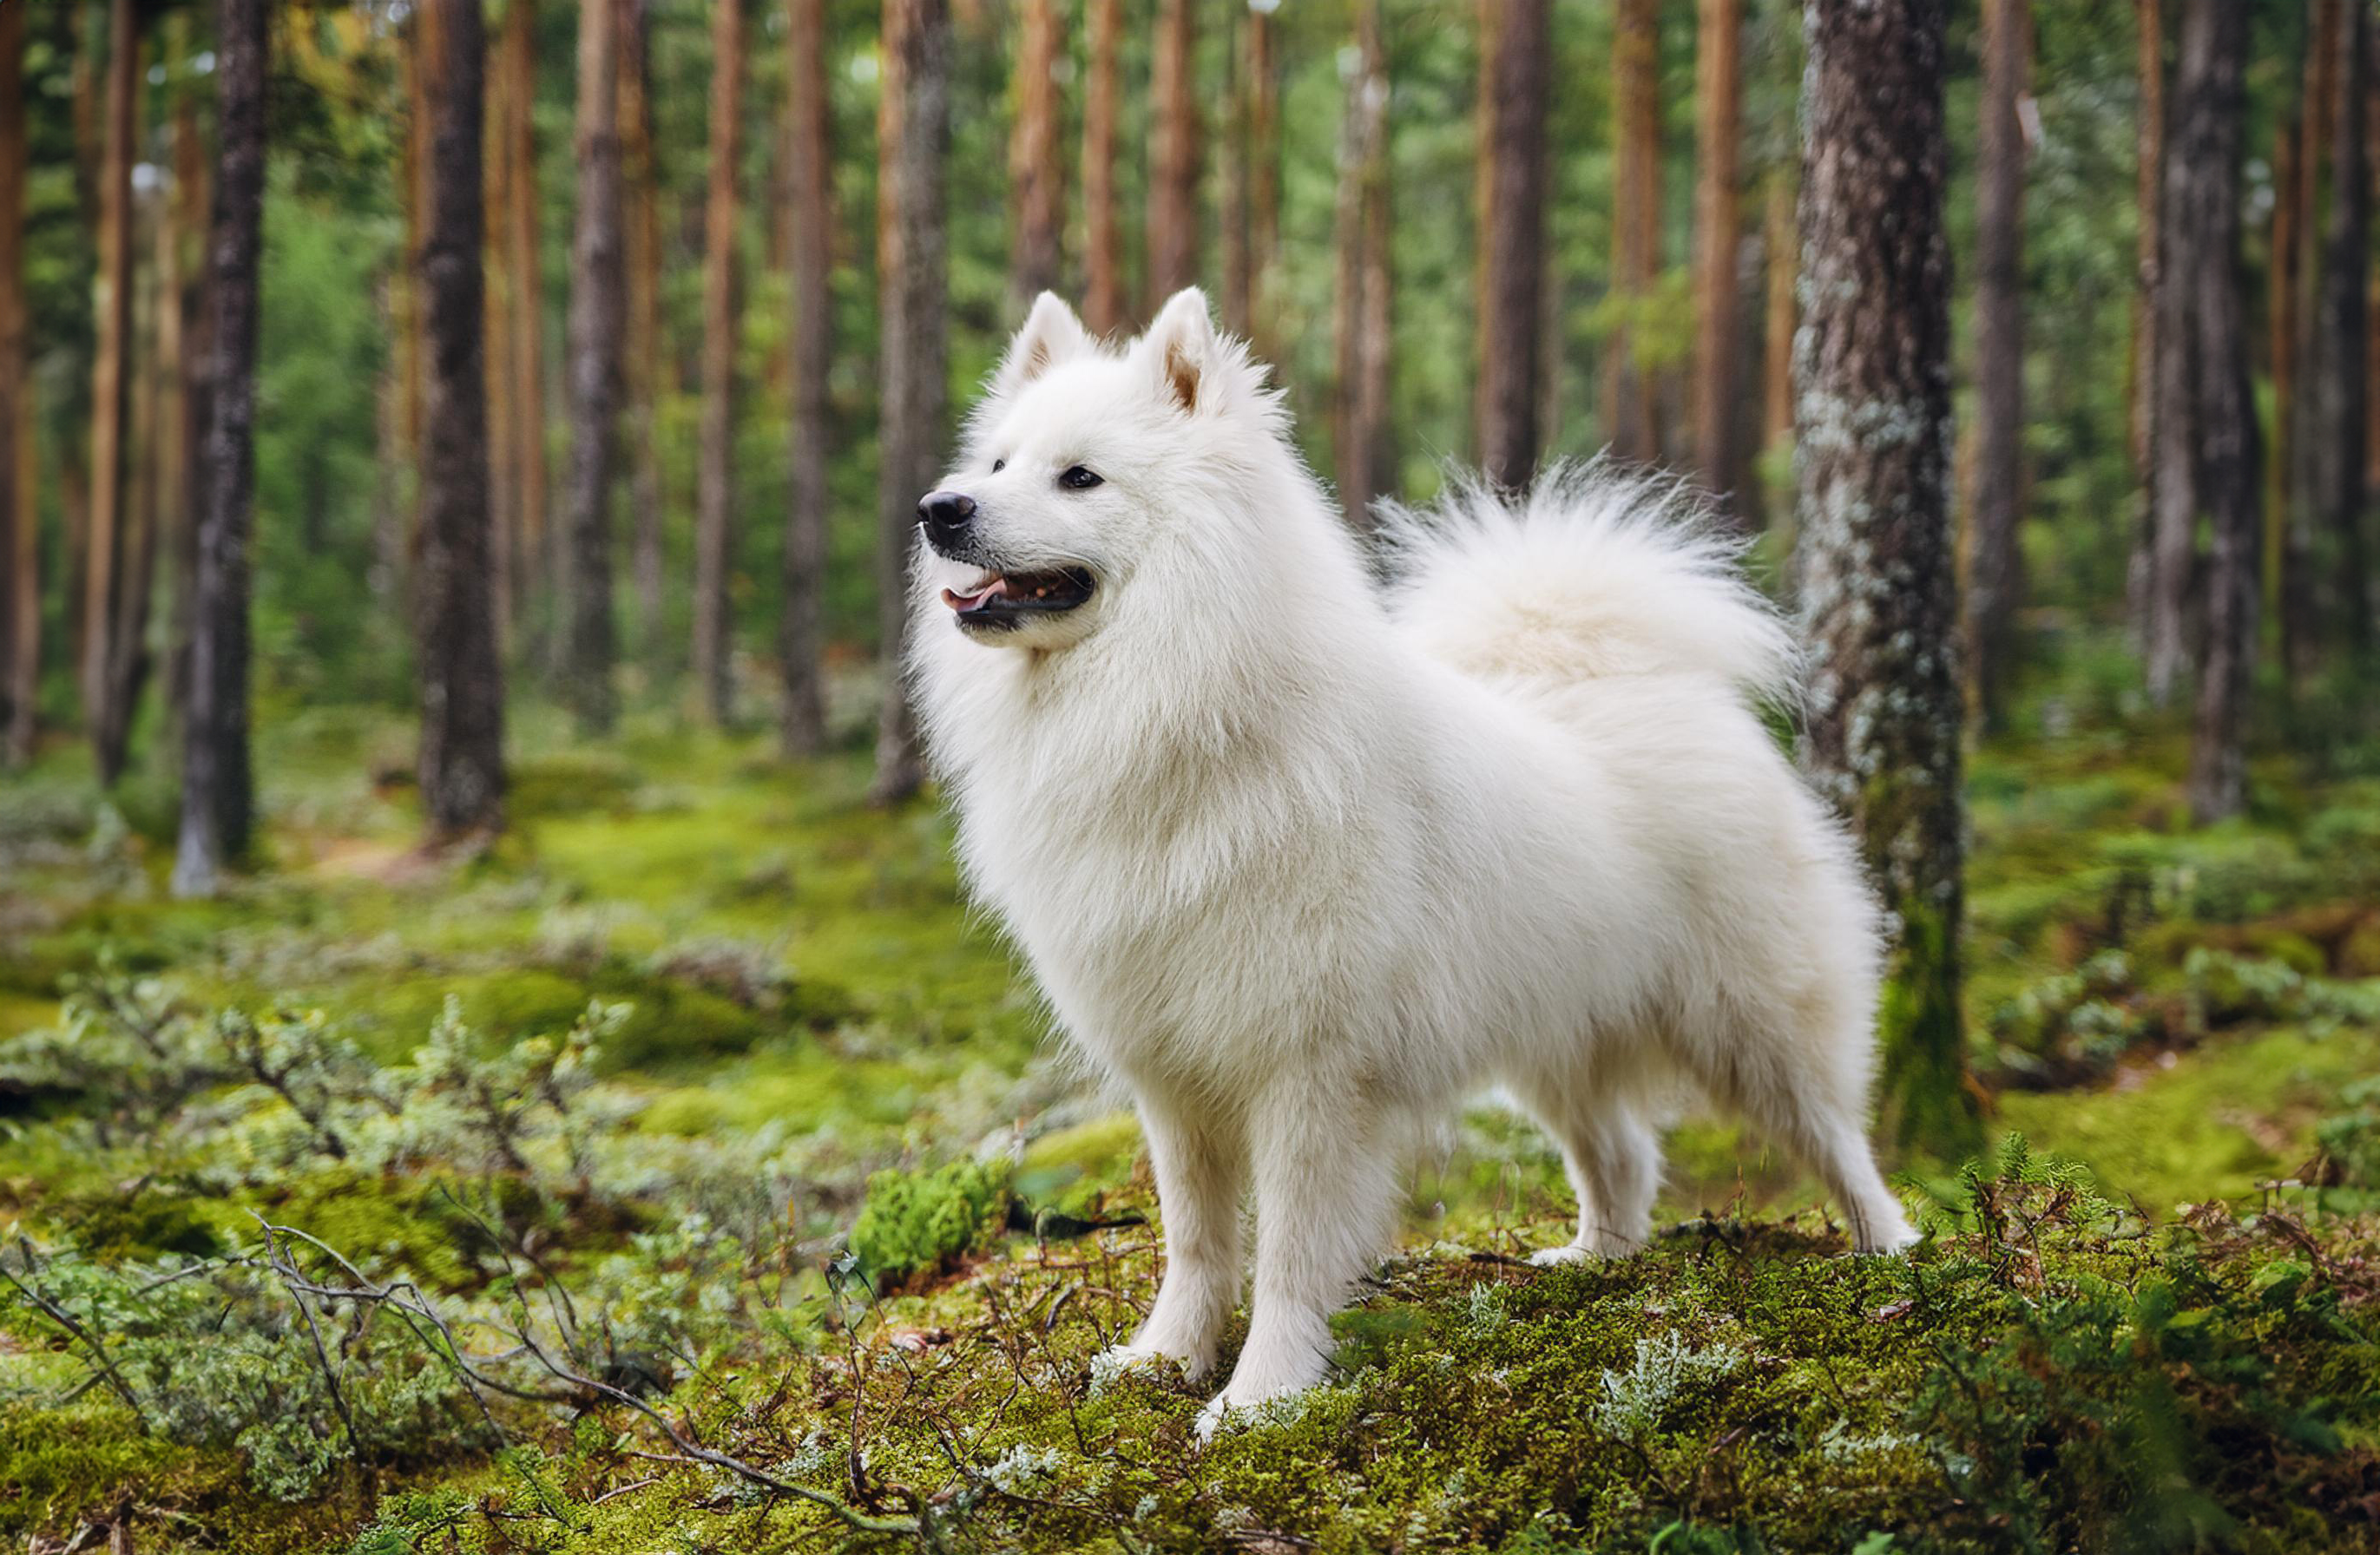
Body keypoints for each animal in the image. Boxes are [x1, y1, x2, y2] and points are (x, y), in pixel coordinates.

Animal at [899, 286, 1923, 1435]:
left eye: (1079, 476)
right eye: (996, 464)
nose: (939, 509)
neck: (1180, 714)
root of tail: (1635, 677)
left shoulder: (1308, 1076)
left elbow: (1289, 1255)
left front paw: (1260, 1397)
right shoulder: (1176, 1075)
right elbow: (1196, 1241)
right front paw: (1165, 1357)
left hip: (1750, 1020)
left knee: (1835, 1136)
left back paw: (1895, 1254)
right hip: (1553, 1033)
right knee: (1623, 1155)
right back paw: (1595, 1262)